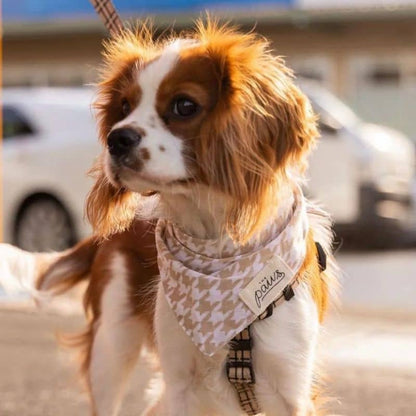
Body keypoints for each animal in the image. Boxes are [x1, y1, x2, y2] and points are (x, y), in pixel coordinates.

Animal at [0, 20, 338, 416]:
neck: (220, 246)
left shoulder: (291, 391)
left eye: (184, 106)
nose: (116, 139)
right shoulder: (180, 385)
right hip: (110, 348)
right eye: (124, 106)